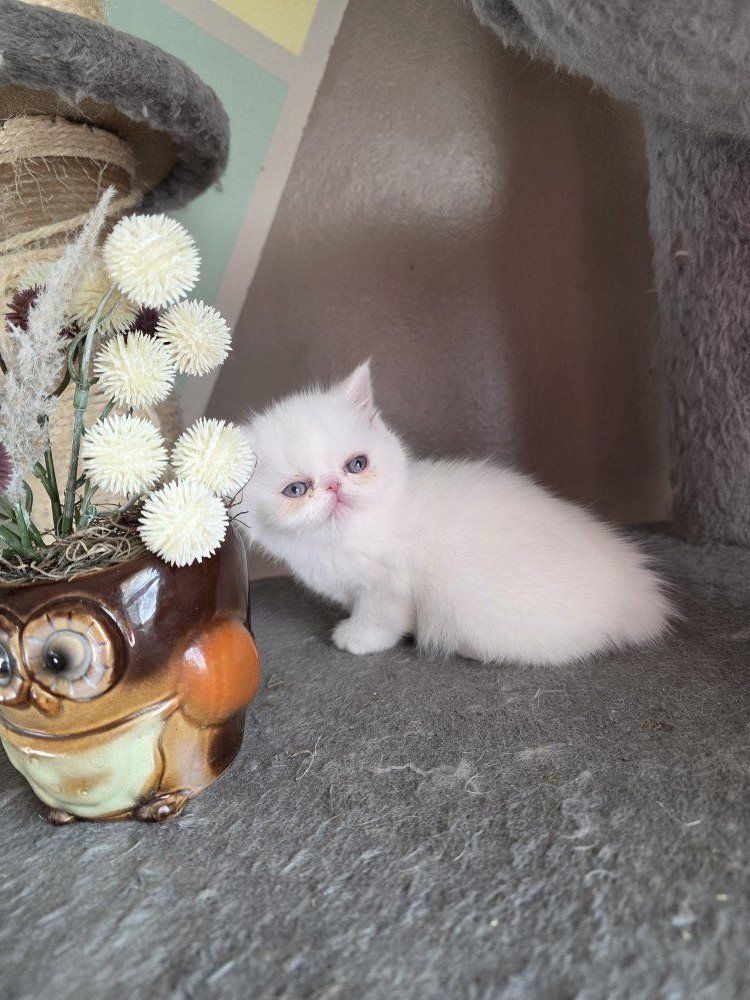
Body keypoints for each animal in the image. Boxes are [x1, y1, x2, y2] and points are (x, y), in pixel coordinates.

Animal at [242, 362, 672, 665]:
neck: (339, 541)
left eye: (356, 465)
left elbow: (381, 617)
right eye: (297, 490)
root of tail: (636, 592)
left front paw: (358, 637)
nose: (333, 486)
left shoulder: (390, 586)